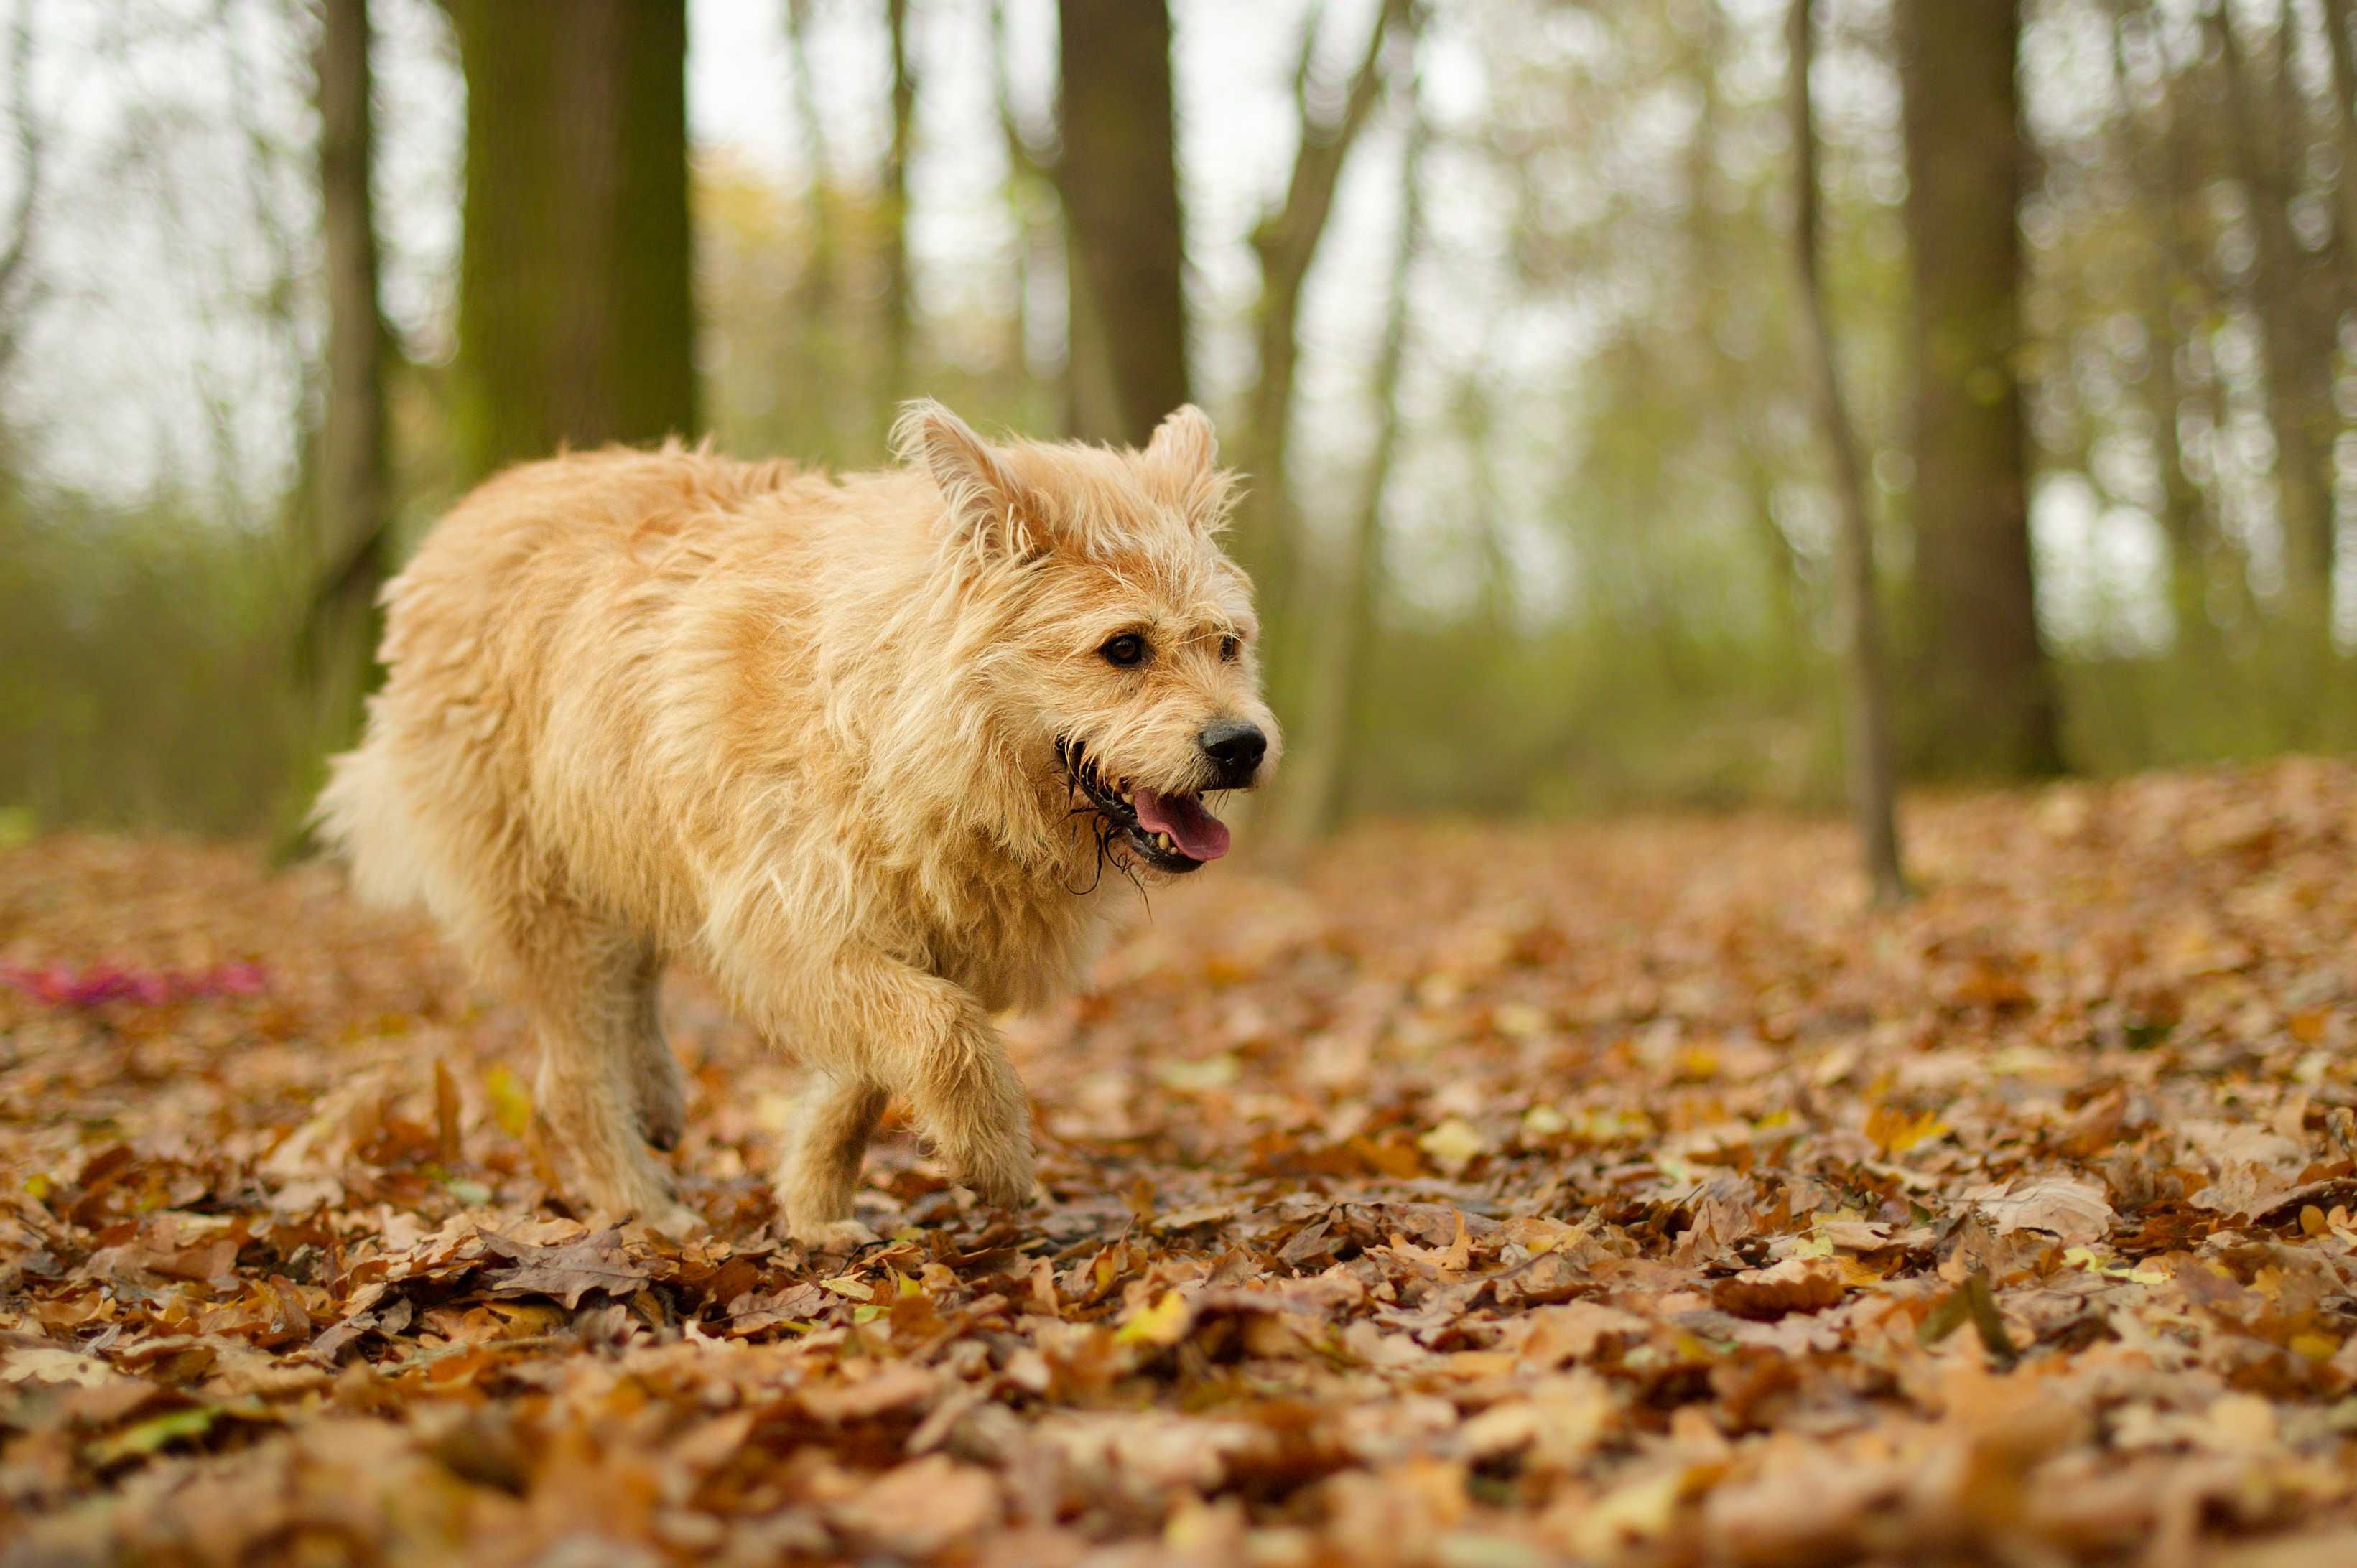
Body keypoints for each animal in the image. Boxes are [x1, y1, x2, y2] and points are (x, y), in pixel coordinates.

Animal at [315, 410, 1282, 1245]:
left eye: (1227, 644)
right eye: (1124, 649)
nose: (1242, 745)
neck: (895, 712)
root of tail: (462, 520)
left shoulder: (880, 933)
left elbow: (866, 1076)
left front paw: (814, 1206)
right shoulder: (789, 919)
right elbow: (944, 1030)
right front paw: (996, 1155)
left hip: (620, 853)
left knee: (632, 987)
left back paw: (657, 1098)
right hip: (548, 901)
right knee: (571, 1081)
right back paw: (646, 1210)